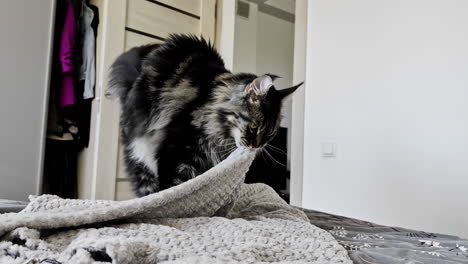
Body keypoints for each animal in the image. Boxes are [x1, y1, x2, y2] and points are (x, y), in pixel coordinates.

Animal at [107, 34, 302, 196]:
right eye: (254, 126)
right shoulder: (175, 150)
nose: (257, 146)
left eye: (270, 133)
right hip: (140, 154)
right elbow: (173, 187)